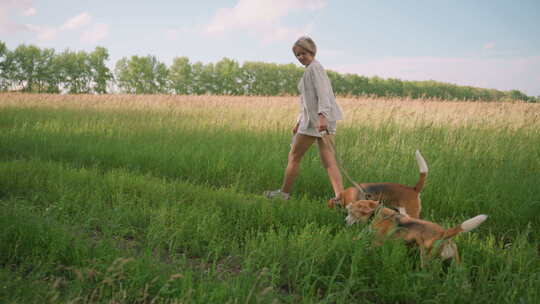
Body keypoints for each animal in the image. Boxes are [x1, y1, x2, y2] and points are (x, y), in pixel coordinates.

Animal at [346, 202, 490, 266]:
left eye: (351, 213)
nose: (345, 221)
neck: (376, 214)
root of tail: (444, 232)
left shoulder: (376, 242)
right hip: (456, 263)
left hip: (426, 258)